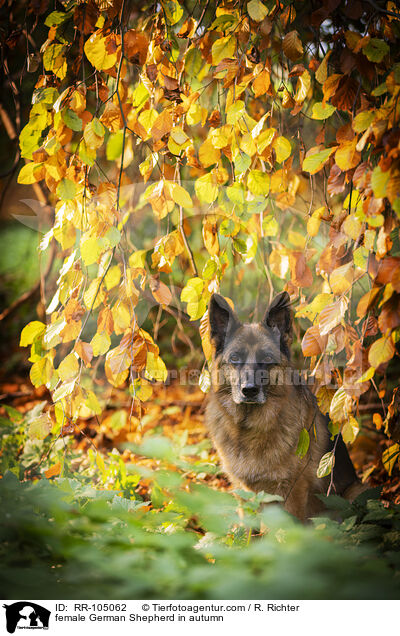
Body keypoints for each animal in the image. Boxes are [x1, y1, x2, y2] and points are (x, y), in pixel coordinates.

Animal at [205, 294, 364, 520]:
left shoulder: (292, 492)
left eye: (267, 358)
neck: (248, 428)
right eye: (234, 358)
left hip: (356, 491)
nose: (249, 390)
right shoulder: (242, 492)